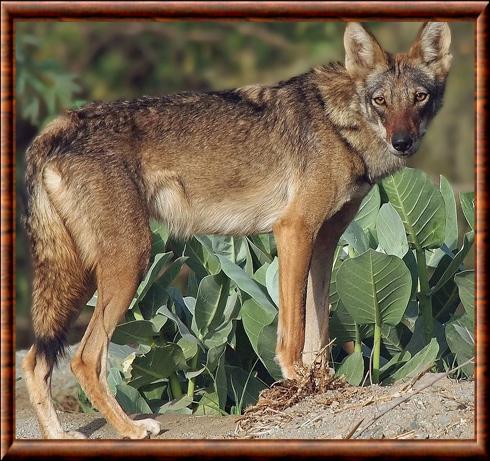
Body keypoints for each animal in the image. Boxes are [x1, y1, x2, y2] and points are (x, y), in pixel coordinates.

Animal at [22, 22, 452, 438]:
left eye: (419, 97)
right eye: (381, 101)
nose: (402, 142)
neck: (339, 123)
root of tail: (54, 128)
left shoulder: (325, 242)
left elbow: (318, 329)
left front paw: (323, 383)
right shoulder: (294, 230)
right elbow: (294, 330)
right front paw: (298, 380)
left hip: (81, 276)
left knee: (34, 361)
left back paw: (60, 436)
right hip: (128, 262)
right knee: (83, 358)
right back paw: (131, 428)